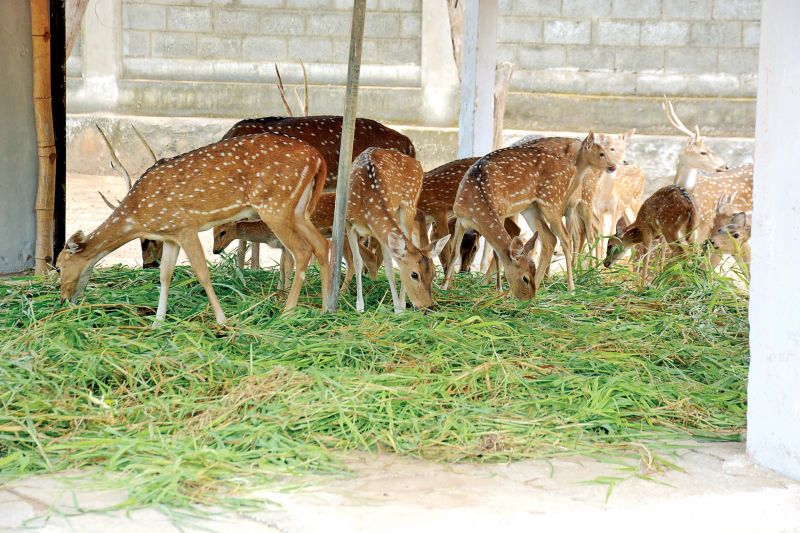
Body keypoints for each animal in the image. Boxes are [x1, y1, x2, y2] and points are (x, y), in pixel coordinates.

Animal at [56, 133, 330, 324]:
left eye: (58, 266)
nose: (63, 298)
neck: (138, 215)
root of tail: (317, 158)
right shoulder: (170, 234)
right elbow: (165, 275)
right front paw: (157, 322)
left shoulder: (185, 226)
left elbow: (201, 272)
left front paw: (222, 319)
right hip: (298, 210)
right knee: (322, 244)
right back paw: (326, 309)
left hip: (276, 205)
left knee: (302, 251)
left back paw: (287, 312)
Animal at [346, 145, 454, 312]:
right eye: (414, 275)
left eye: (433, 274)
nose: (428, 307)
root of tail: (417, 163)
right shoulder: (349, 224)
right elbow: (357, 261)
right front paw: (359, 306)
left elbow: (389, 267)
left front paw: (398, 307)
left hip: (409, 205)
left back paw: (403, 303)